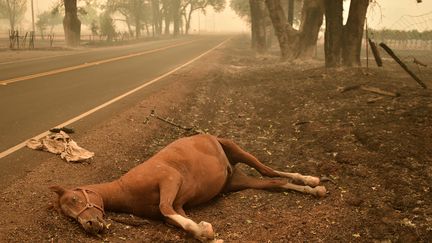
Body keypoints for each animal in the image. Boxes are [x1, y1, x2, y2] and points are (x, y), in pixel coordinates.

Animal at [49, 134, 328, 242]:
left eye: (74, 199)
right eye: (68, 215)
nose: (90, 225)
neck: (126, 189)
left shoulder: (169, 180)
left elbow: (165, 207)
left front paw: (206, 230)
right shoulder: (179, 206)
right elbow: (177, 218)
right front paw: (204, 231)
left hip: (237, 150)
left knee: (269, 171)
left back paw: (311, 180)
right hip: (237, 182)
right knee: (273, 182)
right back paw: (313, 189)